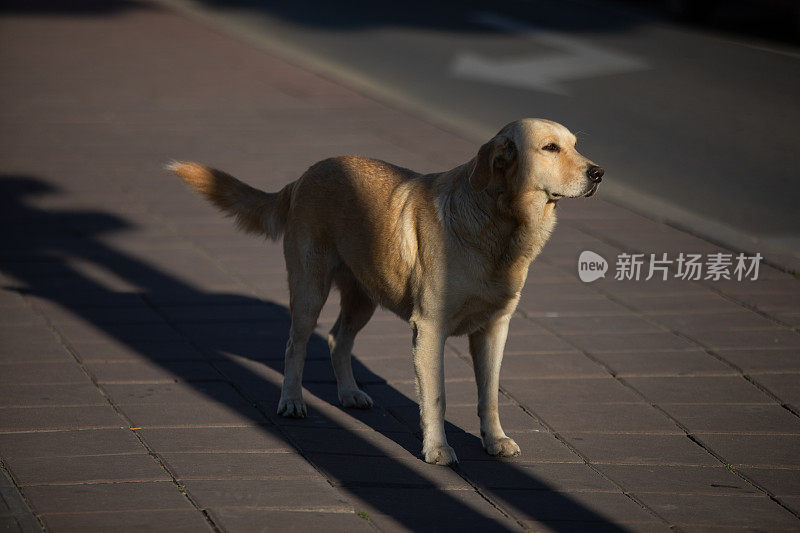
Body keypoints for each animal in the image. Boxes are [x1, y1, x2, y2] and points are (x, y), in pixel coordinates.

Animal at [172, 115, 604, 462]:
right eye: (550, 148)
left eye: (575, 145)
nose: (599, 172)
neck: (501, 225)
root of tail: (305, 174)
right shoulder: (429, 329)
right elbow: (436, 396)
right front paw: (437, 449)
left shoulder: (495, 328)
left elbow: (490, 394)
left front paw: (494, 440)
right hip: (310, 289)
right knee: (296, 345)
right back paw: (292, 400)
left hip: (363, 297)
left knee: (337, 339)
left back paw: (349, 393)